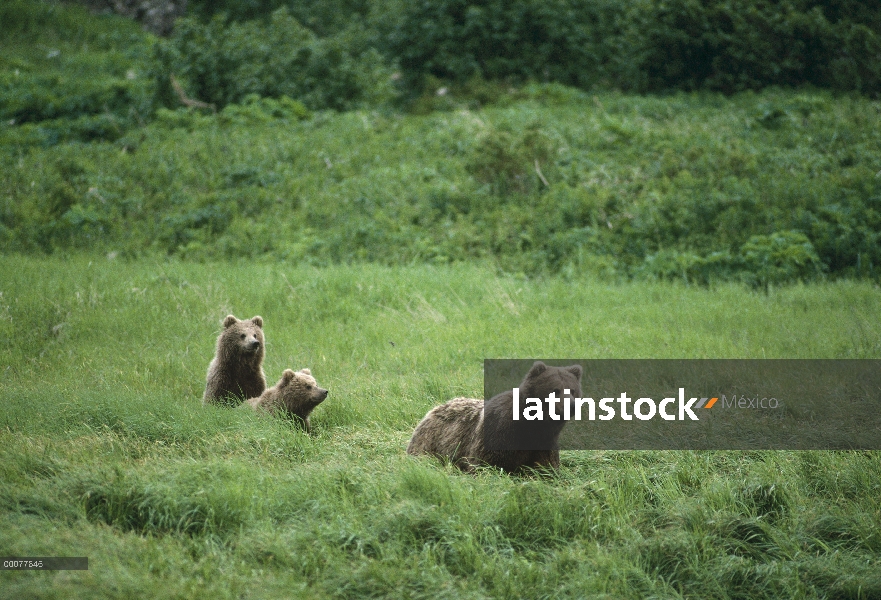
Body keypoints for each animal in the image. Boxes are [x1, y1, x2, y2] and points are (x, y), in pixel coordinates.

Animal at [408, 360, 584, 474]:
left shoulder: (545, 442)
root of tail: (432, 410)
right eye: (555, 390)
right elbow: (484, 464)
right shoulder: (498, 433)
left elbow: (546, 468)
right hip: (430, 441)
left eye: (573, 390)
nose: (572, 405)